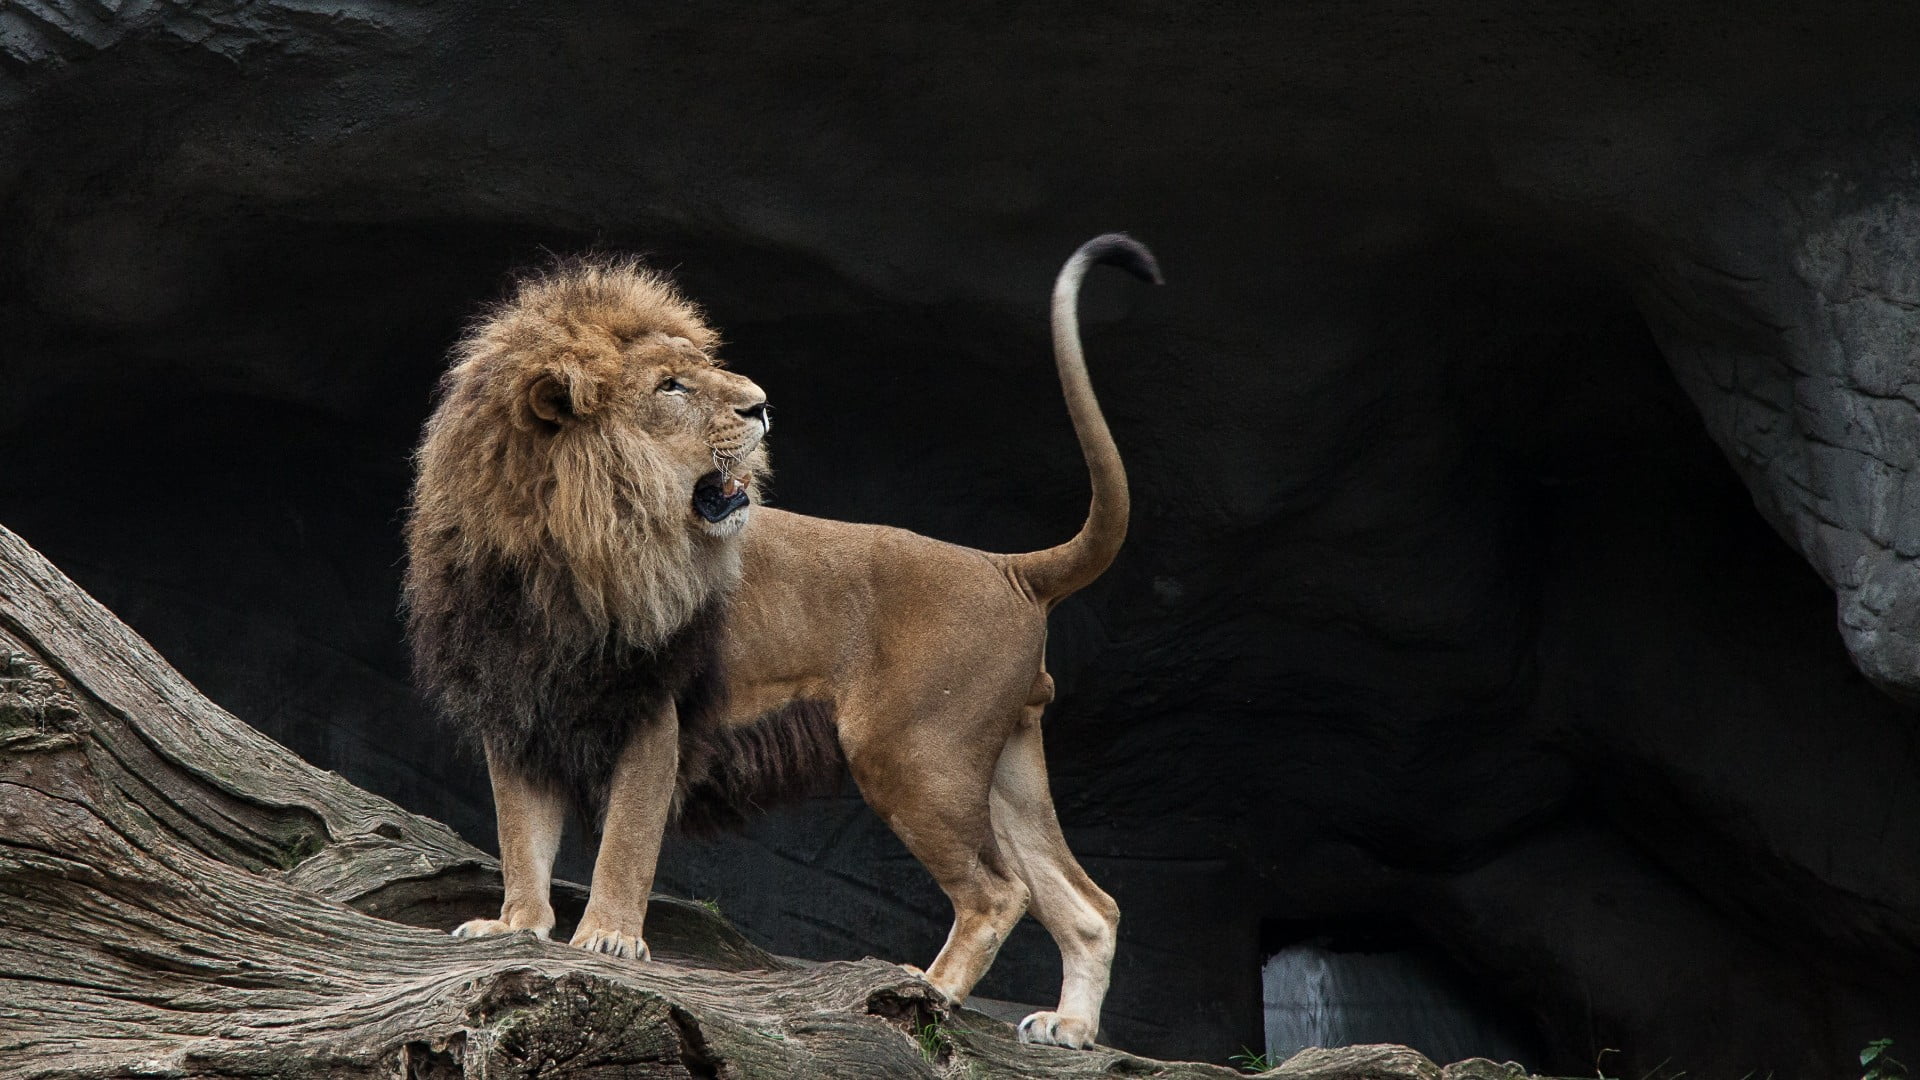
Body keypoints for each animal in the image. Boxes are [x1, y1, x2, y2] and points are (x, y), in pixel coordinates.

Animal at [404, 234, 1160, 1050]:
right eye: (671, 386)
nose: (761, 404)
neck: (556, 551)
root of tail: (1006, 567)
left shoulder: (654, 711)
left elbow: (627, 839)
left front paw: (608, 938)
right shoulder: (515, 709)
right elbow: (520, 833)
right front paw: (516, 925)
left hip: (912, 753)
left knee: (998, 893)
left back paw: (928, 992)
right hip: (998, 765)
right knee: (1088, 905)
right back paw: (1070, 1028)